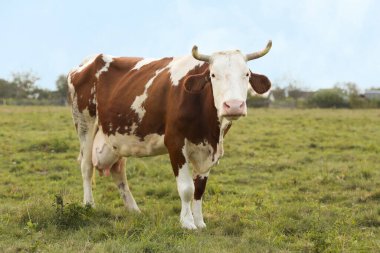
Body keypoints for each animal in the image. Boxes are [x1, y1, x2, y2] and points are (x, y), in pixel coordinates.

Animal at [67, 41, 270, 229]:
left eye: (247, 74)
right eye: (213, 75)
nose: (234, 105)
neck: (209, 129)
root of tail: (86, 62)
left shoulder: (209, 151)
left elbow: (199, 189)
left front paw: (200, 222)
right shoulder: (175, 143)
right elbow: (187, 188)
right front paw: (187, 223)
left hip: (116, 137)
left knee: (119, 171)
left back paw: (134, 210)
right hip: (84, 123)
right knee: (86, 167)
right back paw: (89, 205)